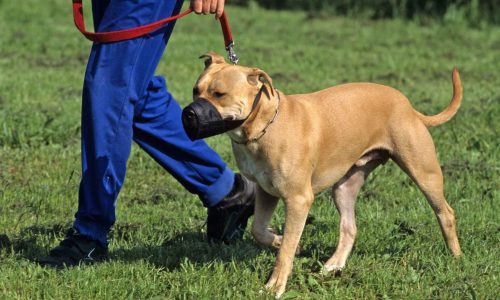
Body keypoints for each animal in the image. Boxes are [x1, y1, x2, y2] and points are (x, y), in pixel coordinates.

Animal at [190, 52, 460, 298]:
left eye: (219, 94)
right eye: (196, 91)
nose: (190, 114)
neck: (264, 126)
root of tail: (408, 106)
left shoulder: (298, 200)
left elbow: (285, 251)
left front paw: (276, 285)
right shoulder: (267, 191)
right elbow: (259, 230)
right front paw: (281, 241)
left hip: (423, 173)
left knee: (445, 212)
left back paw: (456, 256)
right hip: (344, 188)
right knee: (349, 227)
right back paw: (333, 265)